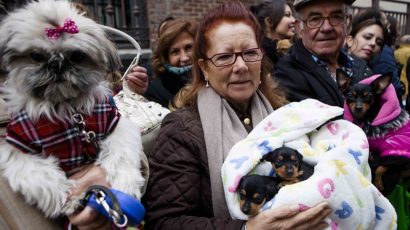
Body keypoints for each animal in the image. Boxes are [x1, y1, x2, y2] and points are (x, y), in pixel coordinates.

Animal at [0, 0, 147, 219]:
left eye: (78, 56)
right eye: (36, 56)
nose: (57, 64)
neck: (66, 106)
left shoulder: (115, 123)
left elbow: (121, 155)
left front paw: (125, 184)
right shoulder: (18, 144)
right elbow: (39, 173)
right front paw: (66, 198)